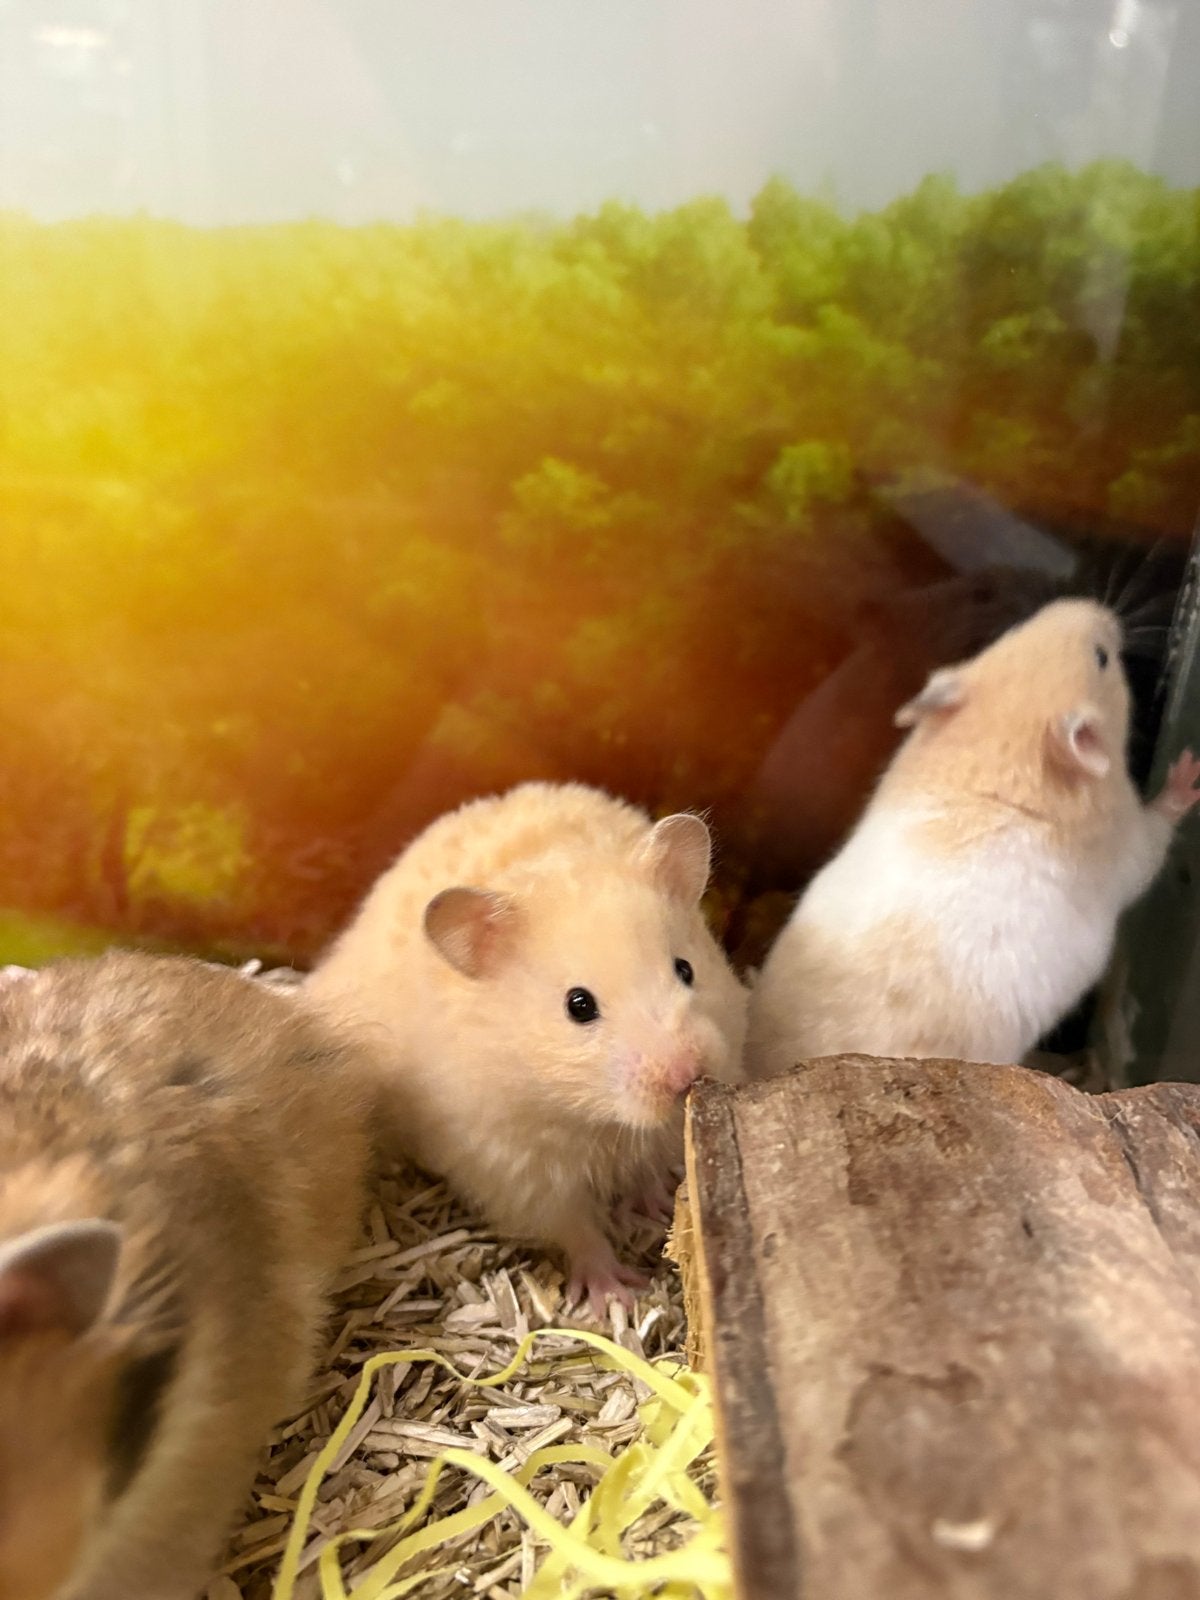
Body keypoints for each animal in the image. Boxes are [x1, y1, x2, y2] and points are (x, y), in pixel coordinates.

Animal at [306, 781, 748, 1316]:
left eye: (685, 969)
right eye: (578, 1005)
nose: (687, 1075)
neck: (595, 1121)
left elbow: (645, 1169)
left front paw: (659, 1204)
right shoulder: (517, 1171)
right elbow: (576, 1229)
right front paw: (615, 1296)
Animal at [746, 598, 1200, 1075]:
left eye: (1012, 632)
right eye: (1102, 658)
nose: (1092, 606)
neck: (1002, 741)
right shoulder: (1129, 841)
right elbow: (1156, 835)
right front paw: (1188, 772)